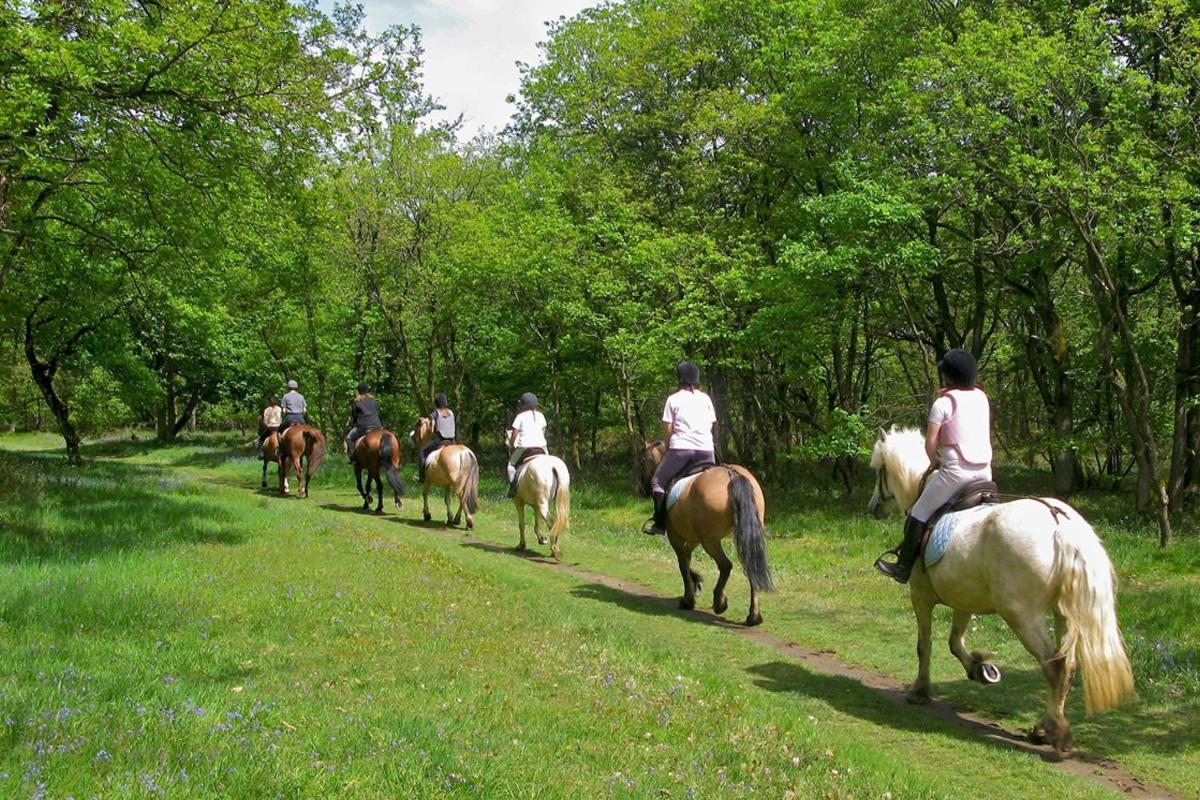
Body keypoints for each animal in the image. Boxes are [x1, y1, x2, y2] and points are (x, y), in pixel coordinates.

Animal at [643, 443, 772, 623]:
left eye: (642, 461)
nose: (641, 488)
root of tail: (731, 473)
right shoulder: (693, 538)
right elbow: (687, 557)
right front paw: (696, 582)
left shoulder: (676, 537)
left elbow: (682, 563)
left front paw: (688, 599)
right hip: (743, 536)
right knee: (750, 567)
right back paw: (754, 616)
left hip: (710, 541)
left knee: (725, 566)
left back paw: (719, 602)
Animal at [873, 424, 1132, 753]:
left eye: (879, 471)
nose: (873, 507)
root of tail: (1059, 523)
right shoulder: (964, 598)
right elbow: (954, 642)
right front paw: (980, 668)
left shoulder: (920, 595)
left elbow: (925, 645)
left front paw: (920, 690)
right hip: (1064, 615)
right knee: (1068, 666)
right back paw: (1045, 726)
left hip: (1021, 615)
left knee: (1052, 665)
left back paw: (1054, 731)